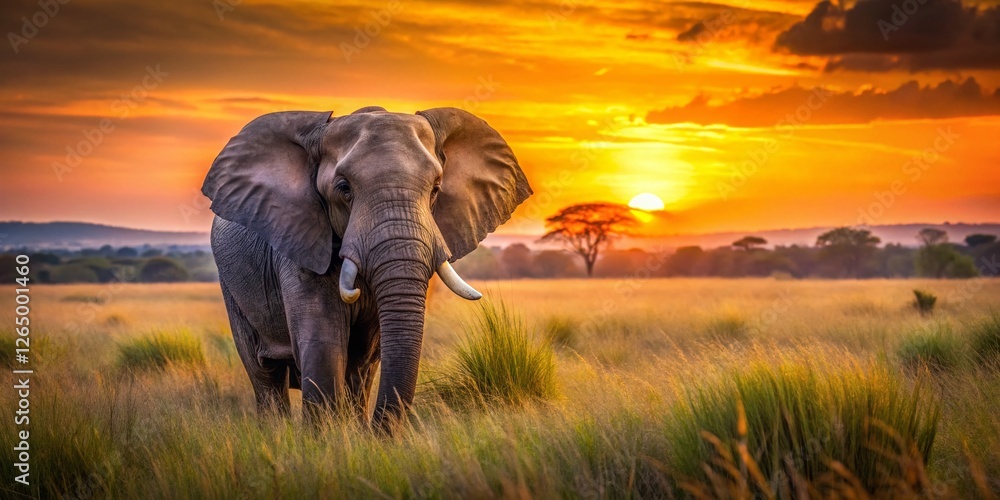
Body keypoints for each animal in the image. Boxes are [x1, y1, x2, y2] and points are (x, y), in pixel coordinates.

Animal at [203, 106, 532, 431]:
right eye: (343, 188)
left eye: (436, 189)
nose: (379, 431)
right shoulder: (300, 242)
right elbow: (324, 344)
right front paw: (324, 438)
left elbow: (364, 355)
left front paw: (357, 435)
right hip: (232, 284)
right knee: (264, 372)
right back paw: (275, 432)